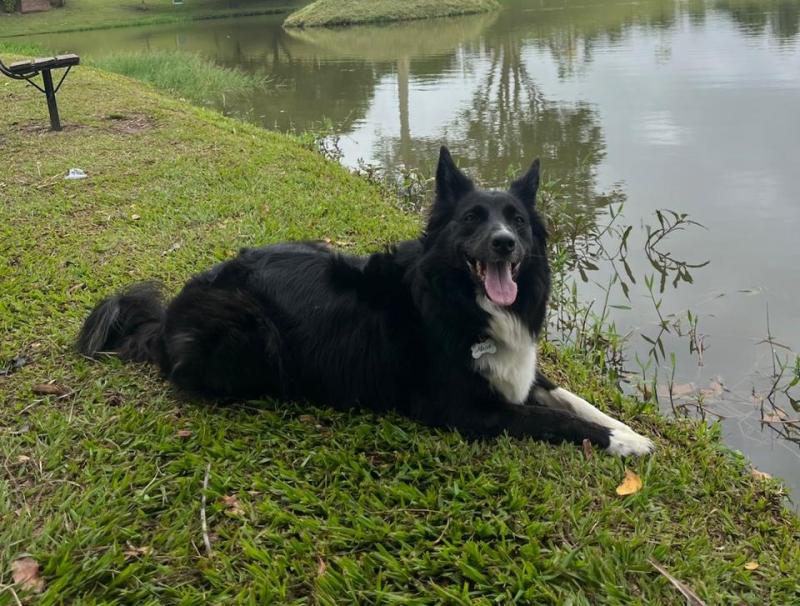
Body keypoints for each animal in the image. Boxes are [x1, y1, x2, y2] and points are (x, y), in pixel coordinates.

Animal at [79, 147, 656, 458]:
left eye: (516, 220)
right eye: (473, 219)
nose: (504, 244)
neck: (457, 302)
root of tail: (168, 315)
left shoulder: (518, 371)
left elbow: (571, 398)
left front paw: (629, 430)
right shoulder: (461, 408)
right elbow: (555, 420)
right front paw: (617, 442)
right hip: (248, 331)